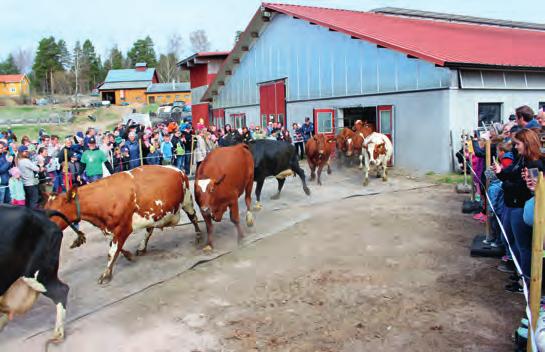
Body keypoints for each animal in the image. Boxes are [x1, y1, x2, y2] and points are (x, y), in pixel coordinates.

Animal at [44, 165, 201, 284]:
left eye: (55, 212)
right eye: (44, 209)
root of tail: (177, 169)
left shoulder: (123, 227)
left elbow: (112, 251)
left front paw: (106, 274)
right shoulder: (111, 228)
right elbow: (115, 247)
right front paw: (128, 255)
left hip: (187, 199)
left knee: (193, 217)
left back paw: (198, 236)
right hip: (152, 213)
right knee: (149, 229)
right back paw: (142, 247)